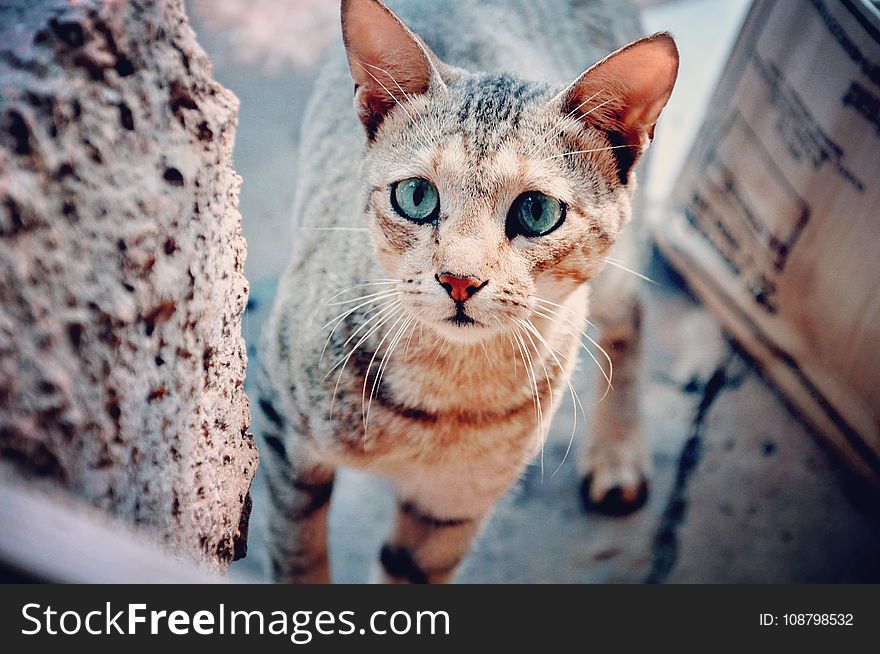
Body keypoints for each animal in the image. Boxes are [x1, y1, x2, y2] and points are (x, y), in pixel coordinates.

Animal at [256, 0, 680, 584]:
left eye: (537, 211)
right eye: (416, 196)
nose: (459, 279)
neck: (445, 388)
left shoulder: (455, 503)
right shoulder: (284, 434)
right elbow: (297, 555)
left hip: (618, 278)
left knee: (632, 314)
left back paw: (617, 455)